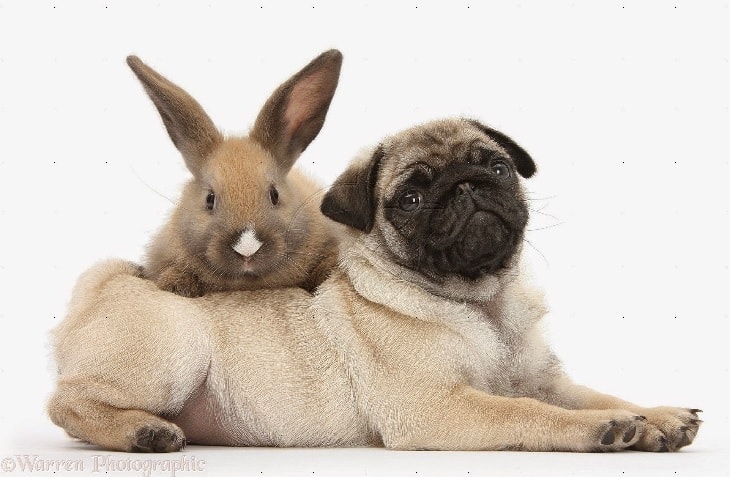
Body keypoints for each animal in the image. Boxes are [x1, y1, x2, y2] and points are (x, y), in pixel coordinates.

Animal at [47, 118, 704, 450]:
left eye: (496, 166)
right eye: (410, 198)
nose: (466, 187)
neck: (480, 302)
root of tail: (104, 288)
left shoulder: (547, 381)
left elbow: (598, 392)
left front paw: (657, 416)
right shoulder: (436, 409)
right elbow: (530, 414)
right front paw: (602, 429)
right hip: (174, 351)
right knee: (66, 403)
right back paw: (140, 430)